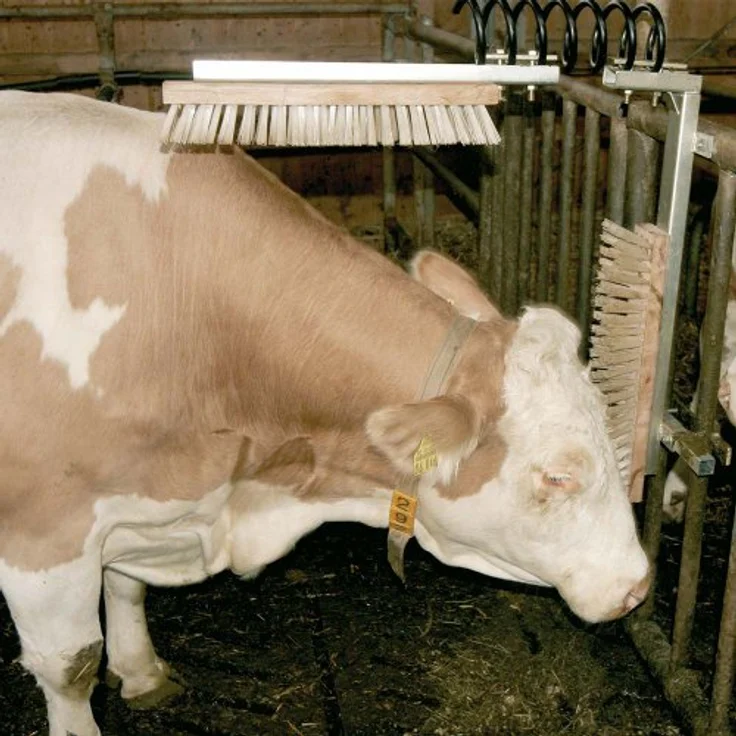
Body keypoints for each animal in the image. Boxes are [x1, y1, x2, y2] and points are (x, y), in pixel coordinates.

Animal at [0, 91, 649, 736]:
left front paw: (140, 672)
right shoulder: (43, 533)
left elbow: (128, 587)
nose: (638, 587)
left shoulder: (139, 499)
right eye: (558, 476)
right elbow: (71, 668)